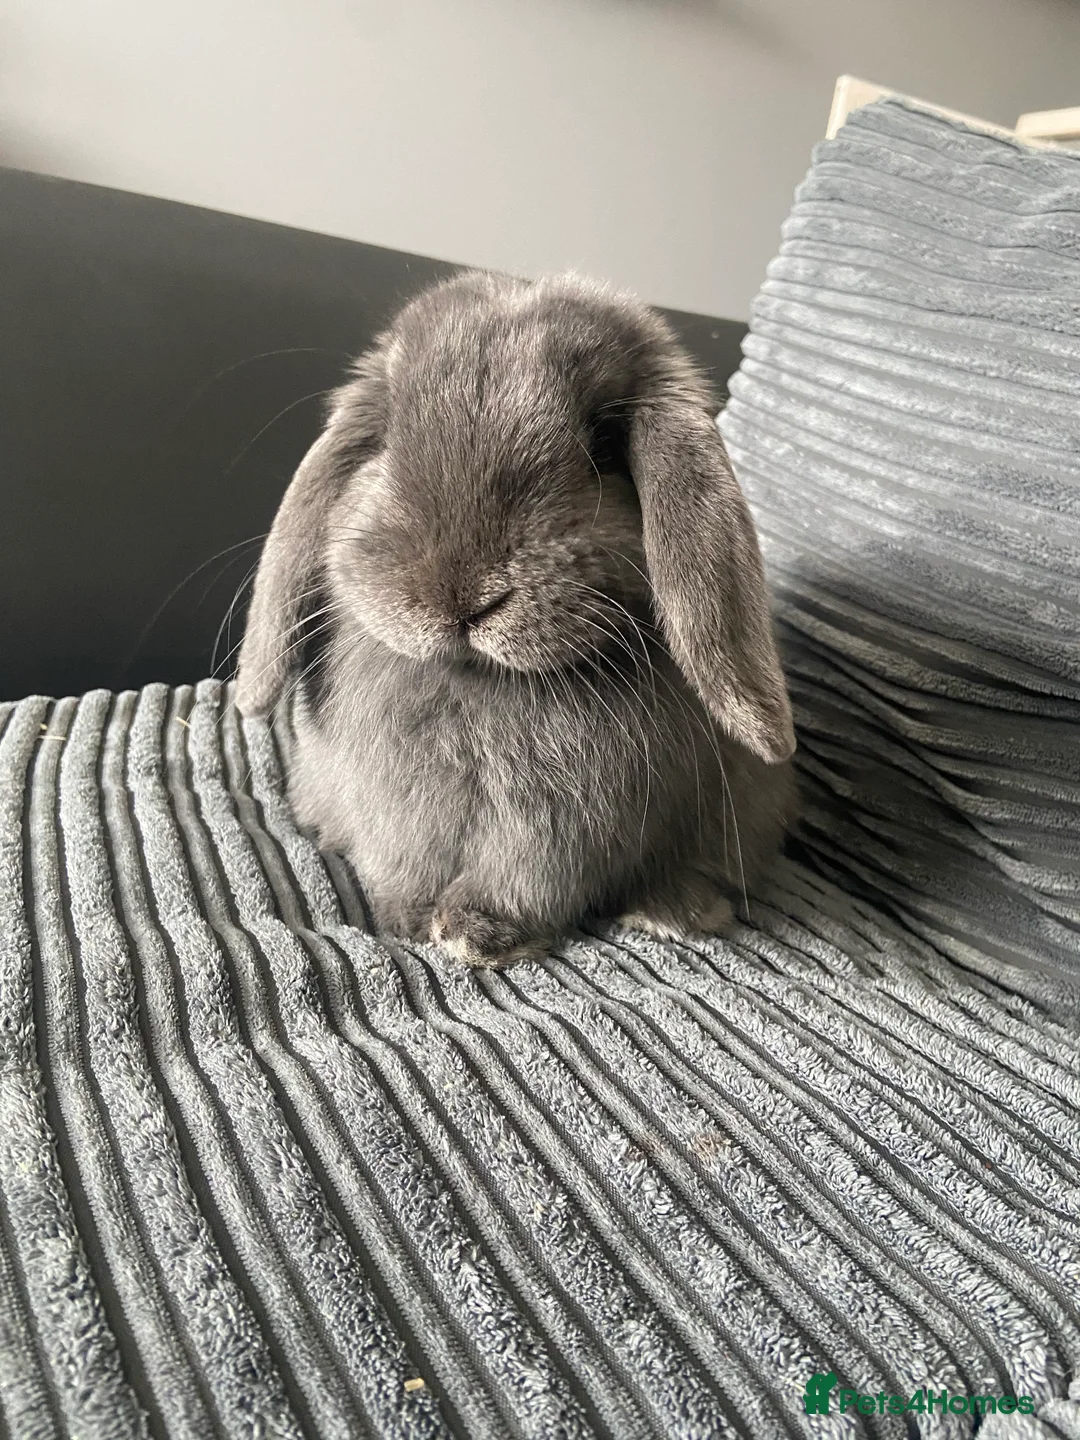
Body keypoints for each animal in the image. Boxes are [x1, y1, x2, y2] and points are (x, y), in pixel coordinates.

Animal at [236, 270, 796, 967]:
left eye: (604, 443)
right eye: (387, 432)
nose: (457, 595)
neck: (480, 683)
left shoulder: (564, 834)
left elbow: (524, 882)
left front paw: (476, 936)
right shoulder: (394, 813)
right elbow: (403, 870)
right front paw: (407, 921)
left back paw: (671, 912)